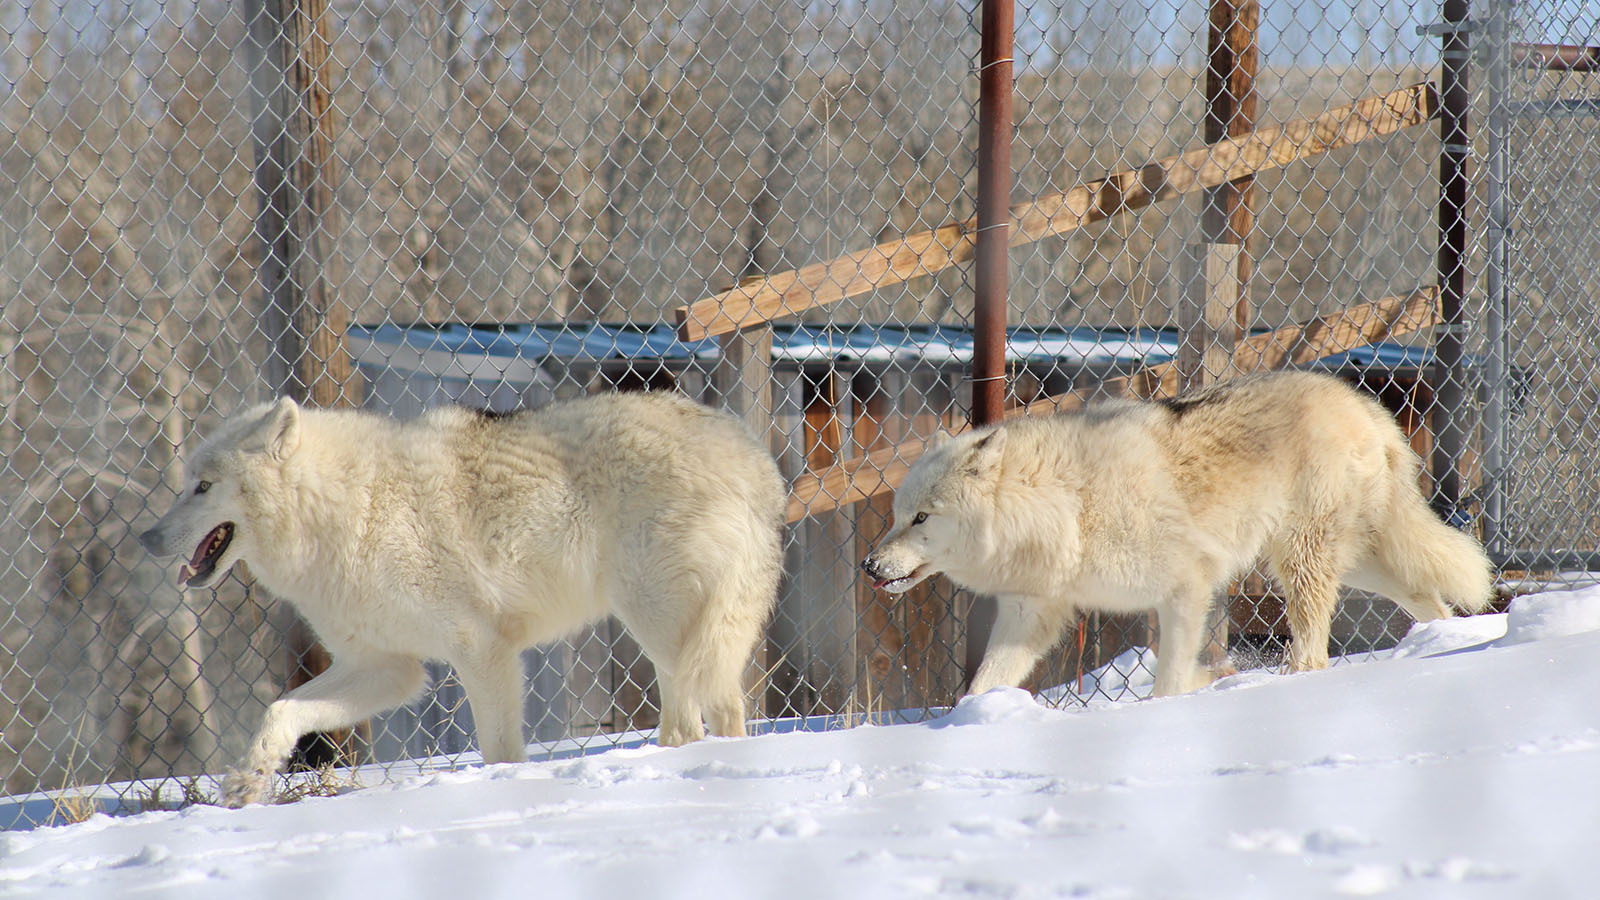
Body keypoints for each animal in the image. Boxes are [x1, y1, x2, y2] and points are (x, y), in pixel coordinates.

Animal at [864, 369, 1497, 695]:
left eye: (922, 518)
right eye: (896, 515)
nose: (869, 567)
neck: (1068, 505)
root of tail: (1364, 404)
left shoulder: (1189, 586)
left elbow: (1168, 678)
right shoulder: (1031, 612)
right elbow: (983, 685)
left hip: (1302, 563)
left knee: (1315, 650)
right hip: (1358, 563)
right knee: (1429, 594)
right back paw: (1445, 644)